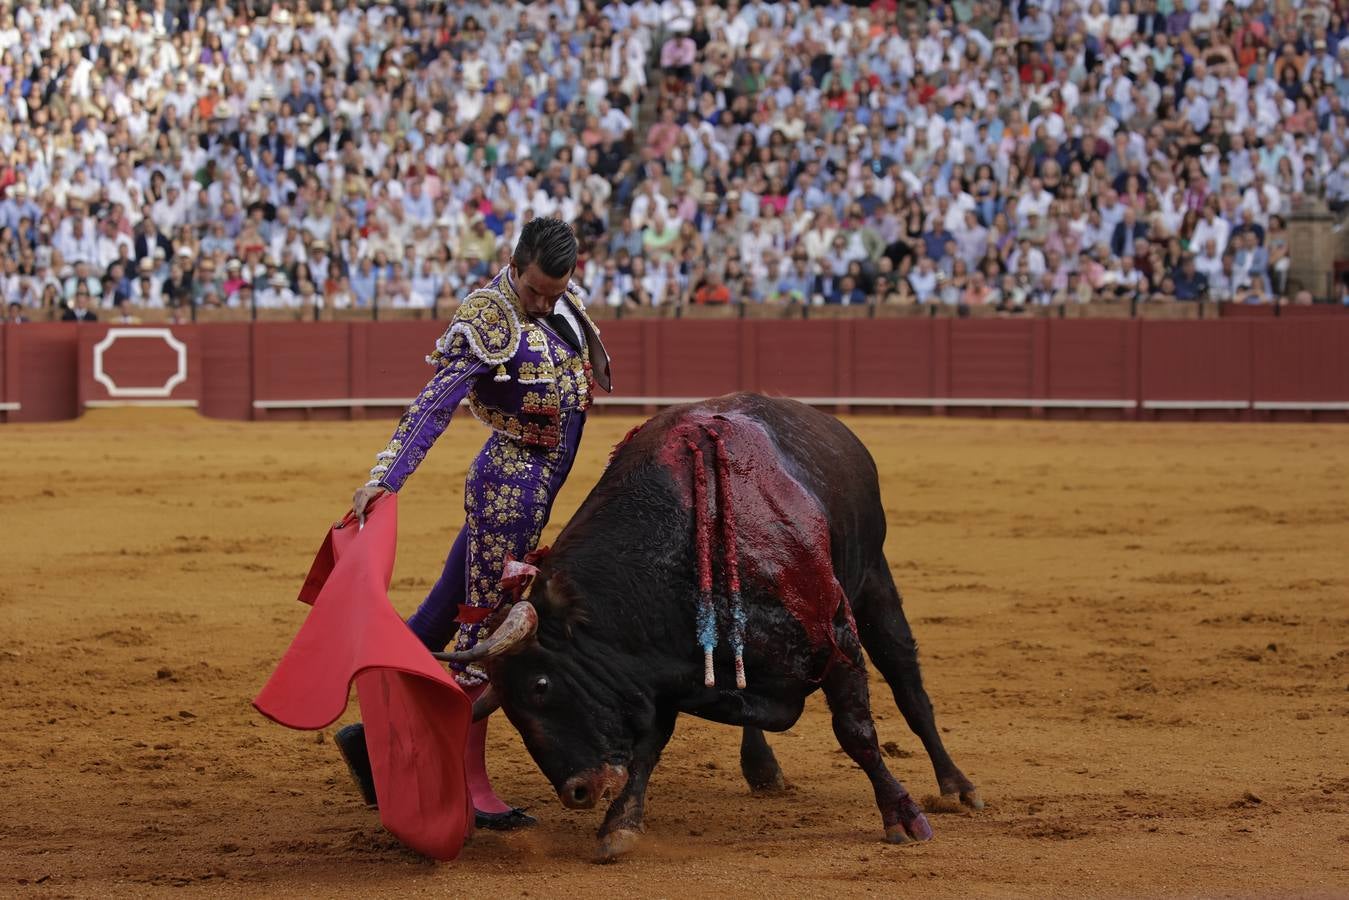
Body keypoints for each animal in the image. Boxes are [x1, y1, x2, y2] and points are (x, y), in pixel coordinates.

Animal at [453, 394, 982, 858]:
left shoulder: (835, 636)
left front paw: (903, 817)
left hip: (873, 578)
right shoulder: (656, 672)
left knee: (908, 686)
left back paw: (957, 788)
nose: (578, 792)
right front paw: (618, 826)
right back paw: (762, 769)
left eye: (541, 685)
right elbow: (647, 746)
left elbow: (856, 732)